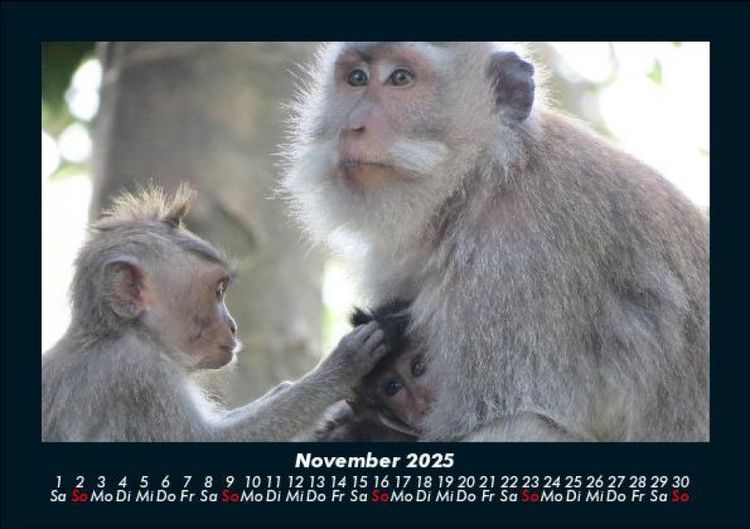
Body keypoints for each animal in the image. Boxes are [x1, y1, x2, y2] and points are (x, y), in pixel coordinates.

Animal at [41, 185, 388, 442]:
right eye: (218, 292)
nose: (233, 326)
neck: (123, 331)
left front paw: (288, 390)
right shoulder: (137, 374)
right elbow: (207, 440)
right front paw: (336, 370)